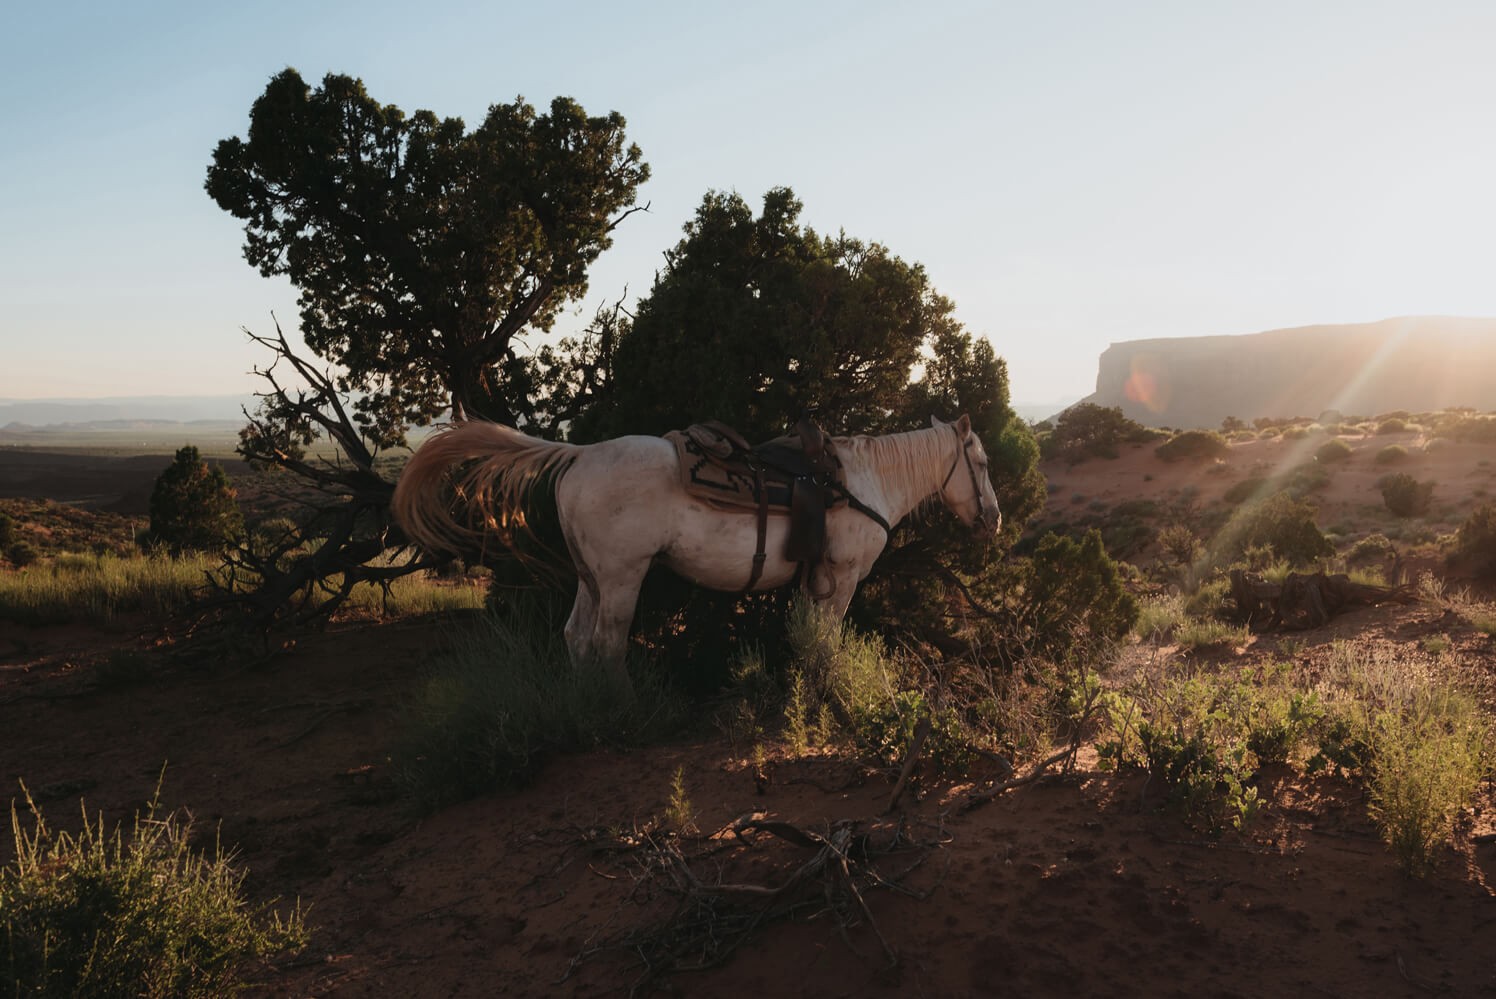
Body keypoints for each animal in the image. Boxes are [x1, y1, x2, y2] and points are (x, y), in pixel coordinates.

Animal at [391, 415, 999, 687]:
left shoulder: (816, 576)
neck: (864, 483)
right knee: (607, 643)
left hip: (591, 577)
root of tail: (580, 454)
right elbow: (827, 636)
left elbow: (807, 632)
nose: (993, 519)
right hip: (622, 577)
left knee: (576, 637)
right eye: (982, 462)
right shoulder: (844, 575)